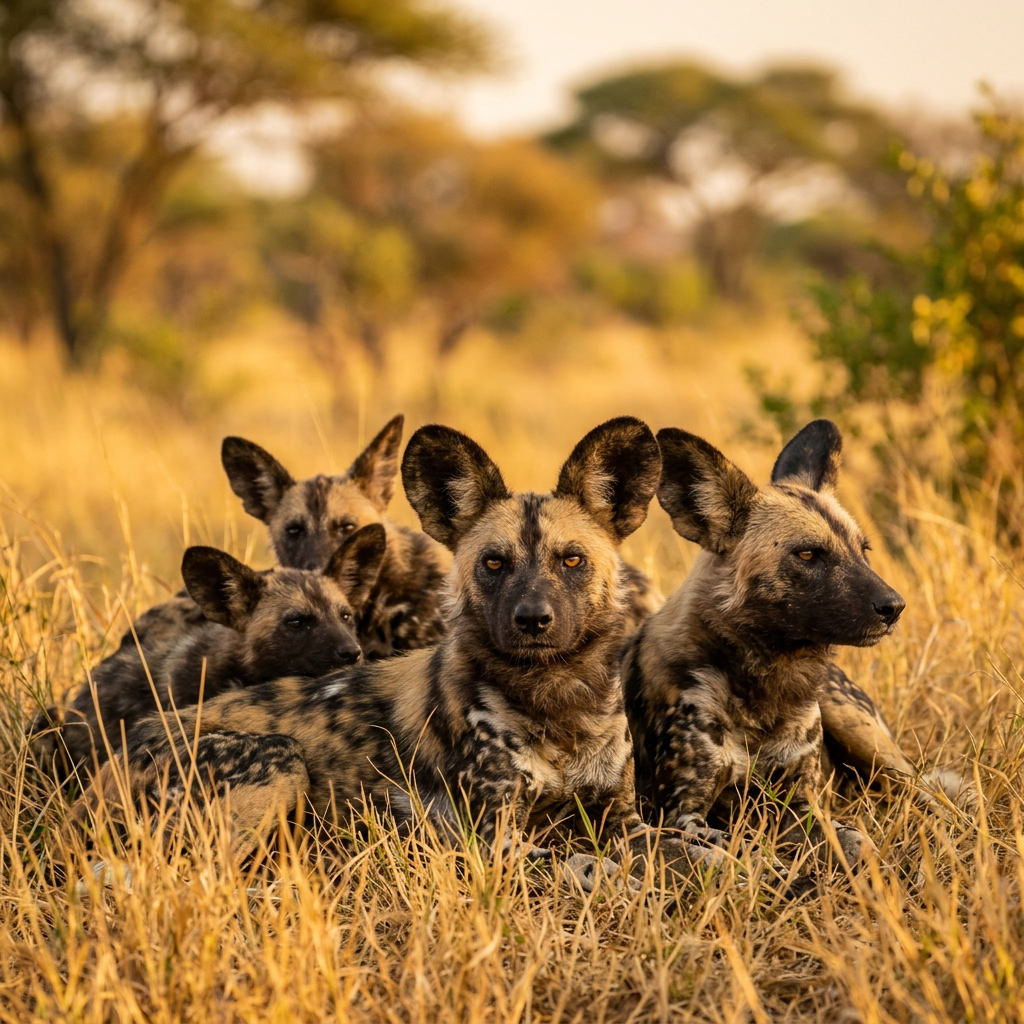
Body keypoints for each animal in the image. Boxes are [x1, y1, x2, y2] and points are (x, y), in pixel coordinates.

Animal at [78, 418, 712, 881]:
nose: (533, 620)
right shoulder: (496, 842)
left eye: (572, 559)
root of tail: (112, 761)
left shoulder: (623, 822)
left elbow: (706, 853)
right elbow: (596, 868)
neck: (558, 701)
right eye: (494, 563)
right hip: (279, 762)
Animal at [623, 420, 916, 859]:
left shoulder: (802, 801)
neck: (768, 685)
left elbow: (854, 840)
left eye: (863, 550)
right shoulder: (683, 814)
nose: (894, 606)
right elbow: (744, 853)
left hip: (869, 741)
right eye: (808, 554)